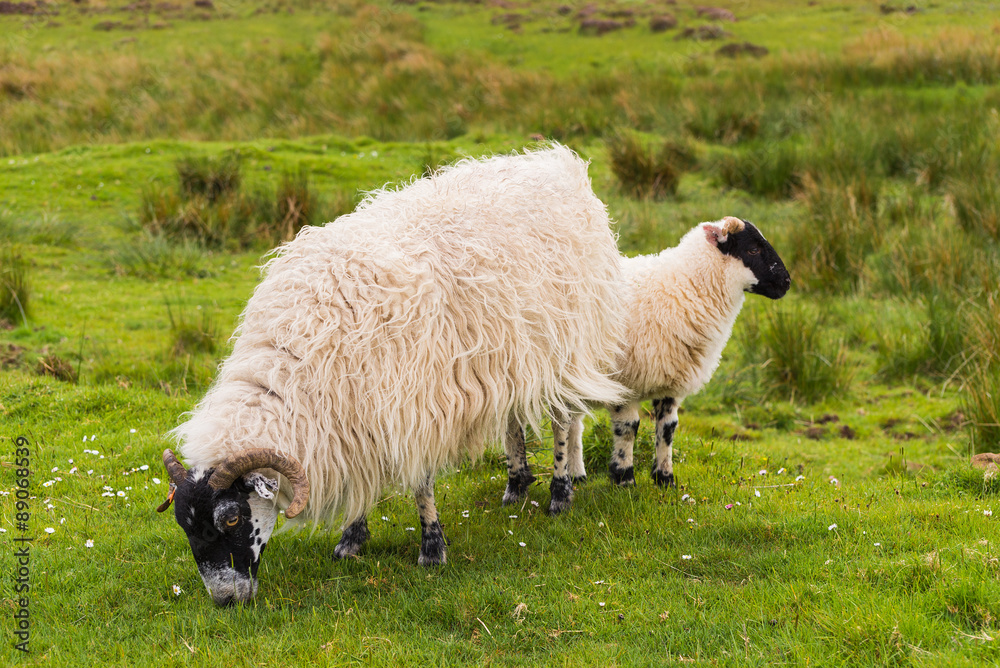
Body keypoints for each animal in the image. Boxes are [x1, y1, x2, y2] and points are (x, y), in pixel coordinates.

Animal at [155, 145, 629, 605]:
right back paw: (516, 486)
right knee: (514, 417)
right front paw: (351, 539)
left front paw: (432, 550)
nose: (225, 600)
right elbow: (360, 478)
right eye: (183, 524)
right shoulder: (352, 416)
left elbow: (421, 483)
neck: (296, 368)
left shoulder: (412, 405)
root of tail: (557, 162)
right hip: (513, 356)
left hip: (568, 346)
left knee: (563, 419)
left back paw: (560, 494)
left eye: (232, 518)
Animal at [503, 216, 791, 513]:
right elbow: (628, 428)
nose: (787, 282)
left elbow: (668, 429)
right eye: (753, 249)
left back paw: (577, 473)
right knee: (515, 425)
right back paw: (517, 487)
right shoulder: (623, 381)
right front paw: (624, 479)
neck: (684, 288)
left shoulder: (671, 383)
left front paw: (665, 479)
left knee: (573, 424)